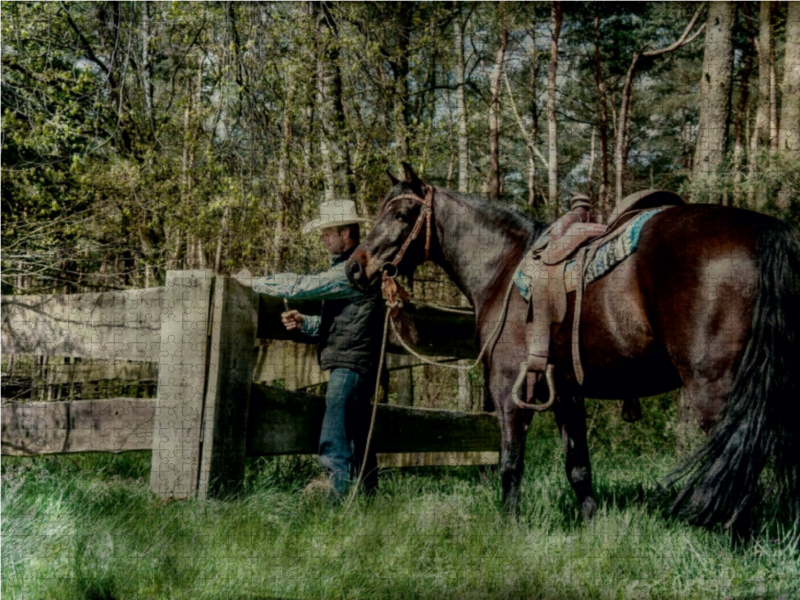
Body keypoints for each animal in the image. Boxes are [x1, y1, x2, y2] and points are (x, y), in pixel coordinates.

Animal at [346, 163, 800, 528]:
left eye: (402, 214)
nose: (355, 267)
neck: (504, 269)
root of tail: (767, 230)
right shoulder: (566, 392)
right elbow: (578, 466)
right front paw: (590, 524)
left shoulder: (510, 390)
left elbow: (510, 464)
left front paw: (508, 527)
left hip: (718, 391)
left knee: (739, 462)